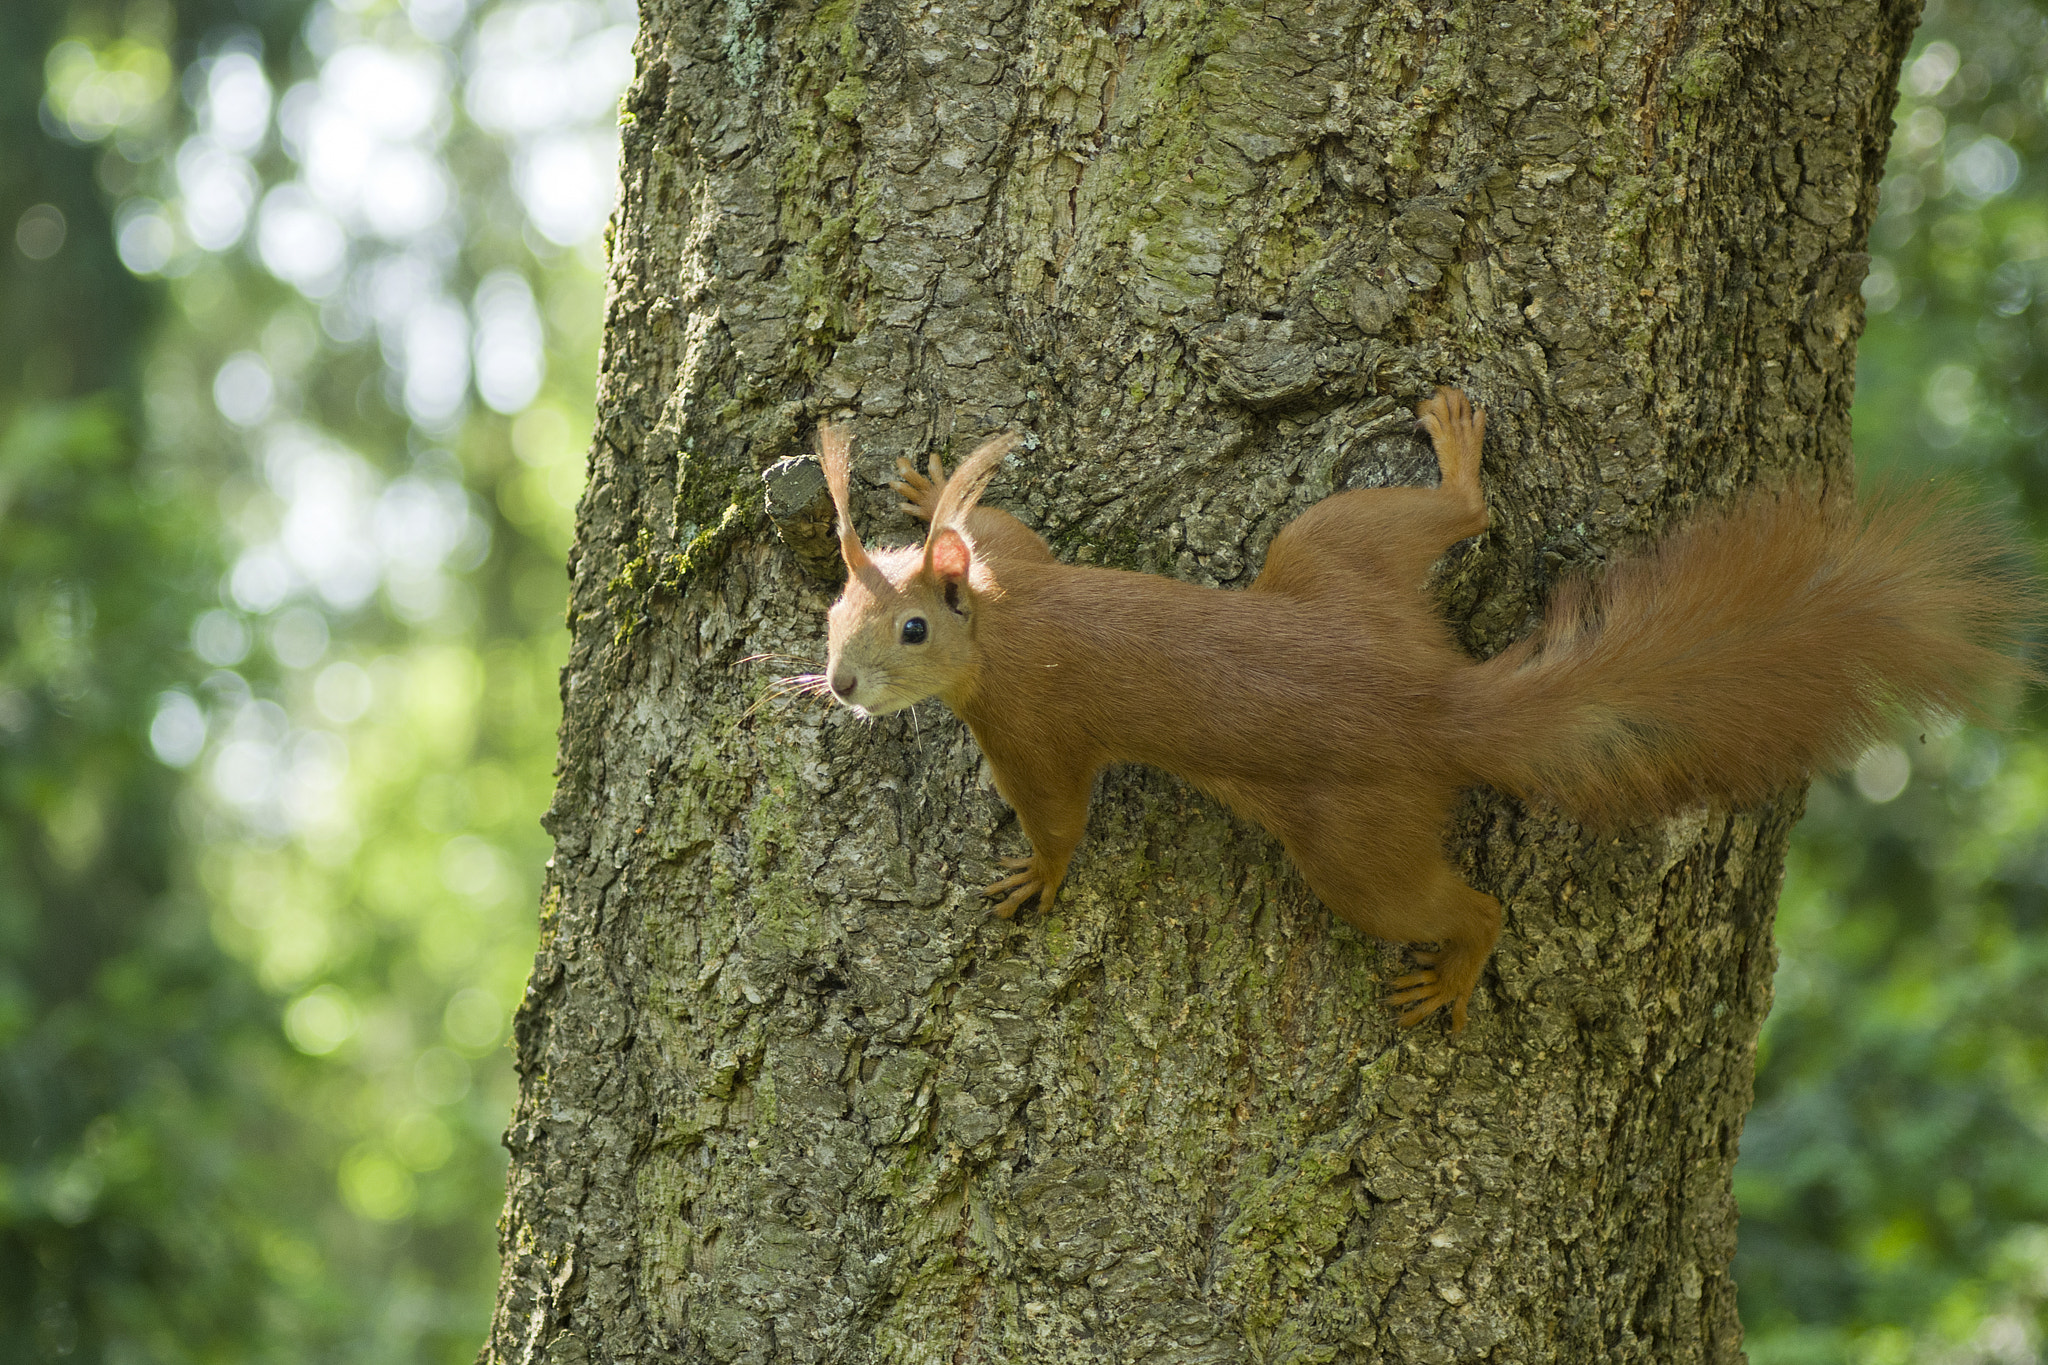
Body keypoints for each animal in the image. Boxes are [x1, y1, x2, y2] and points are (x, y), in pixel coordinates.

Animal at [815, 388, 2031, 1031]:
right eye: (836, 606)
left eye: (911, 633)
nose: (837, 685)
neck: (1002, 624)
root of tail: (1430, 705)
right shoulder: (1016, 560)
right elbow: (1003, 521)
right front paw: (924, 494)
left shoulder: (1027, 727)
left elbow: (1060, 817)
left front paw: (1037, 875)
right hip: (1336, 558)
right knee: (1454, 515)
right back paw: (1456, 455)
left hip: (1352, 849)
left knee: (1462, 905)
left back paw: (1453, 968)